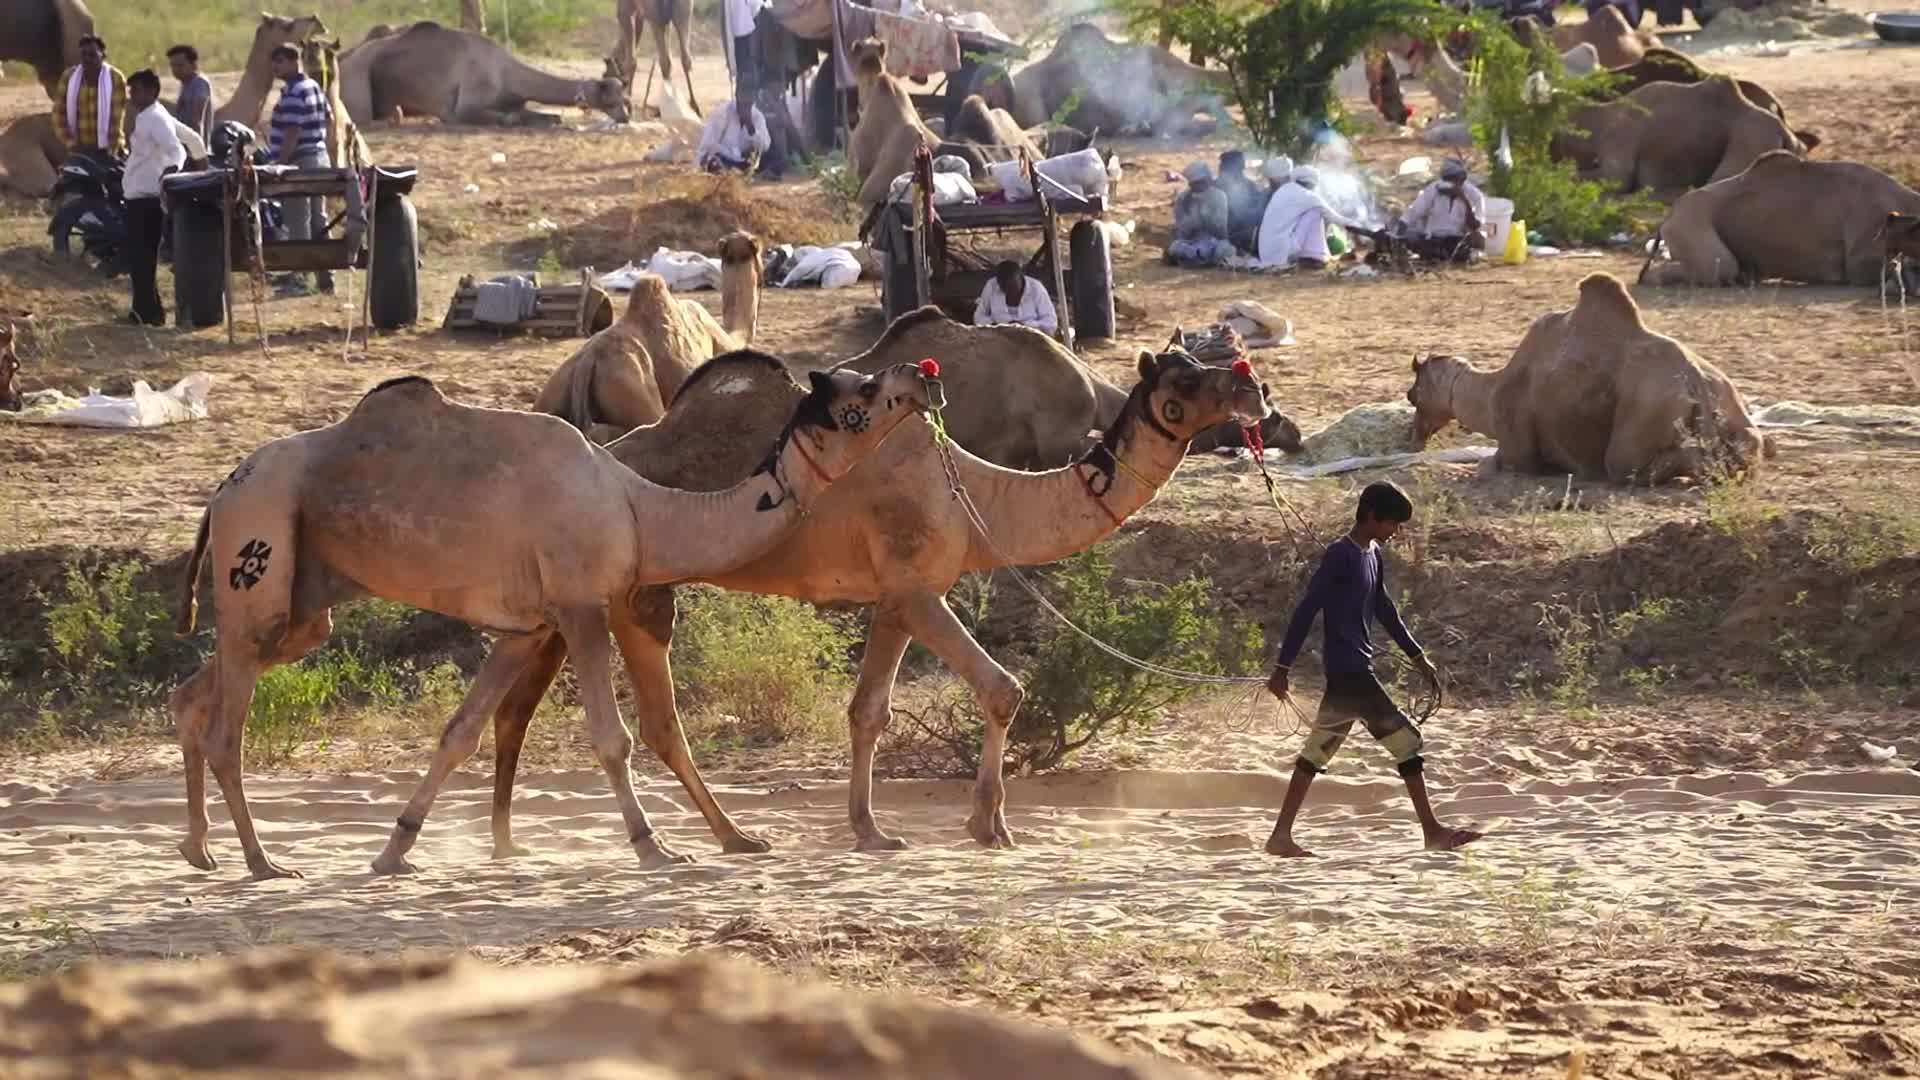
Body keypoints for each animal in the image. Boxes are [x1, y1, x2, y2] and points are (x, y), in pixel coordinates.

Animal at [170, 363, 930, 880]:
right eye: (861, 394)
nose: (919, 374)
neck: (640, 511)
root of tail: (220, 489)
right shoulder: (581, 606)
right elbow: (612, 738)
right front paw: (655, 846)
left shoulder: (525, 628)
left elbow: (459, 734)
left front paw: (395, 849)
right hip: (258, 550)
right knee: (228, 730)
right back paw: (261, 862)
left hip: (303, 610)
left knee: (196, 692)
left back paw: (200, 849)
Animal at [338, 21, 629, 127]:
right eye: (612, 99)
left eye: (625, 98)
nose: (625, 117)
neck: (507, 74)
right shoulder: (463, 107)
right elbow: (506, 118)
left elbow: (549, 116)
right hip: (356, 76)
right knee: (362, 117)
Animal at [447, 337, 1270, 868]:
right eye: (1184, 384)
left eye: (1211, 365)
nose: (1254, 388)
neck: (980, 500)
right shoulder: (917, 587)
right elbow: (1004, 689)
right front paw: (986, 824)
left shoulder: (898, 600)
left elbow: (868, 712)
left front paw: (871, 829)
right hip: (630, 592)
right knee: (650, 719)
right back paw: (712, 839)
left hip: (578, 591)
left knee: (522, 704)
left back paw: (518, 842)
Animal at [1405, 272, 1772, 484]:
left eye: (1413, 394)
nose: (1414, 436)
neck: (1489, 389)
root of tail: (1697, 383)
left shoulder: (1517, 449)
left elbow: (1495, 463)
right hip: (1734, 405)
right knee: (1748, 446)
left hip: (1643, 418)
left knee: (1628, 465)